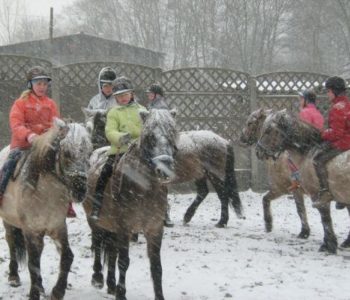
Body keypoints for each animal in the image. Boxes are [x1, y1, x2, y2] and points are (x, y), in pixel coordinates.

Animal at [0, 120, 92, 300]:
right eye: (67, 153)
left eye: (89, 152)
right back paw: (14, 276)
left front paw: (57, 291)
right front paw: (34, 294)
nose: (80, 190)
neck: (46, 193)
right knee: (11, 242)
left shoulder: (57, 227)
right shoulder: (31, 230)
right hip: (8, 220)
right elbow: (33, 263)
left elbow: (67, 256)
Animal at [84, 108, 178, 300]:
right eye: (150, 136)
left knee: (111, 251)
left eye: (172, 135)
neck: (145, 189)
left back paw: (111, 284)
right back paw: (98, 278)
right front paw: (121, 294)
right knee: (97, 244)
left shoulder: (154, 229)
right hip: (95, 221)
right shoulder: (124, 228)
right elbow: (123, 261)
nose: (164, 169)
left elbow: (156, 266)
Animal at [239, 108, 310, 239]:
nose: (241, 137)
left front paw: (304, 232)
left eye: (250, 123)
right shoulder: (281, 189)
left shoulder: (289, 189)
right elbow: (265, 199)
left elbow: (300, 209)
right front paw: (268, 224)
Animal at [256, 108, 350, 253]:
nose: (258, 151)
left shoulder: (315, 195)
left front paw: (328, 244)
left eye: (268, 130)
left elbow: (325, 218)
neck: (308, 151)